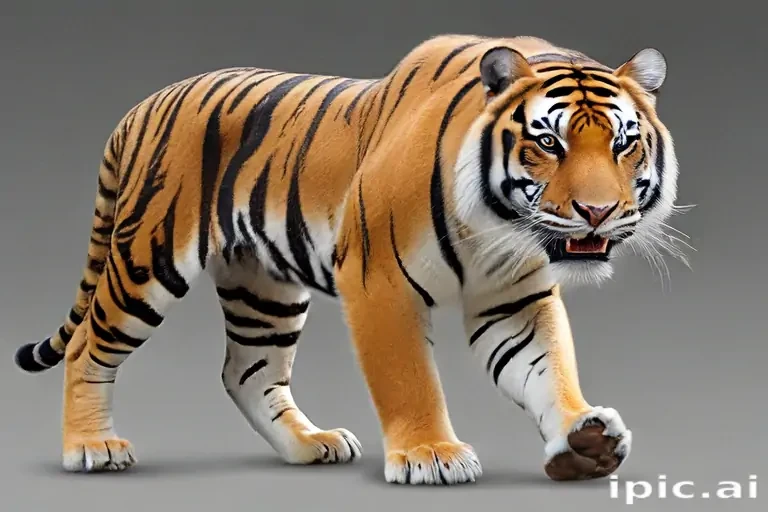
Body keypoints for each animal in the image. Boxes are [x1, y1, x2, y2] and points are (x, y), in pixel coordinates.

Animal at [13, 33, 679, 485]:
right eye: (548, 142)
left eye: (624, 143)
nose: (597, 212)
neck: (497, 227)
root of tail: (143, 105)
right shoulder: (379, 280)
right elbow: (408, 379)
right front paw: (431, 455)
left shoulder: (514, 298)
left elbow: (547, 367)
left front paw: (583, 438)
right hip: (148, 259)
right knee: (88, 344)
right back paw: (92, 449)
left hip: (264, 290)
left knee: (247, 371)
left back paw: (309, 445)